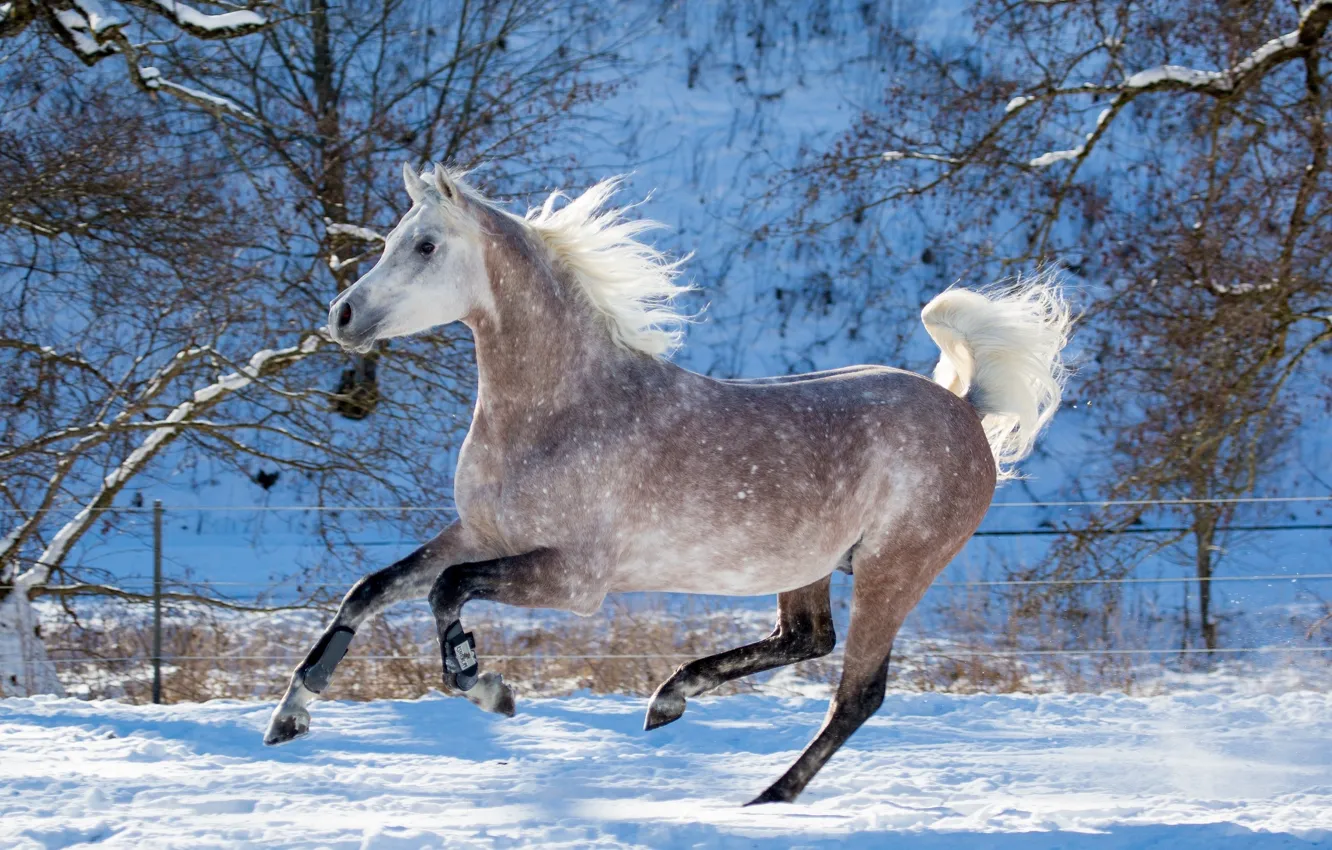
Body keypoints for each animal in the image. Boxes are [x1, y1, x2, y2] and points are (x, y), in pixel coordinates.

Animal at [262, 165, 1070, 804]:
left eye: (425, 245)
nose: (342, 316)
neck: (563, 410)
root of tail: (965, 410)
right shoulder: (480, 532)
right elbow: (371, 590)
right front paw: (289, 717)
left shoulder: (574, 579)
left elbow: (445, 592)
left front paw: (490, 690)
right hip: (807, 565)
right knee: (805, 638)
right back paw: (670, 699)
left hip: (893, 570)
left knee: (857, 695)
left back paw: (766, 798)